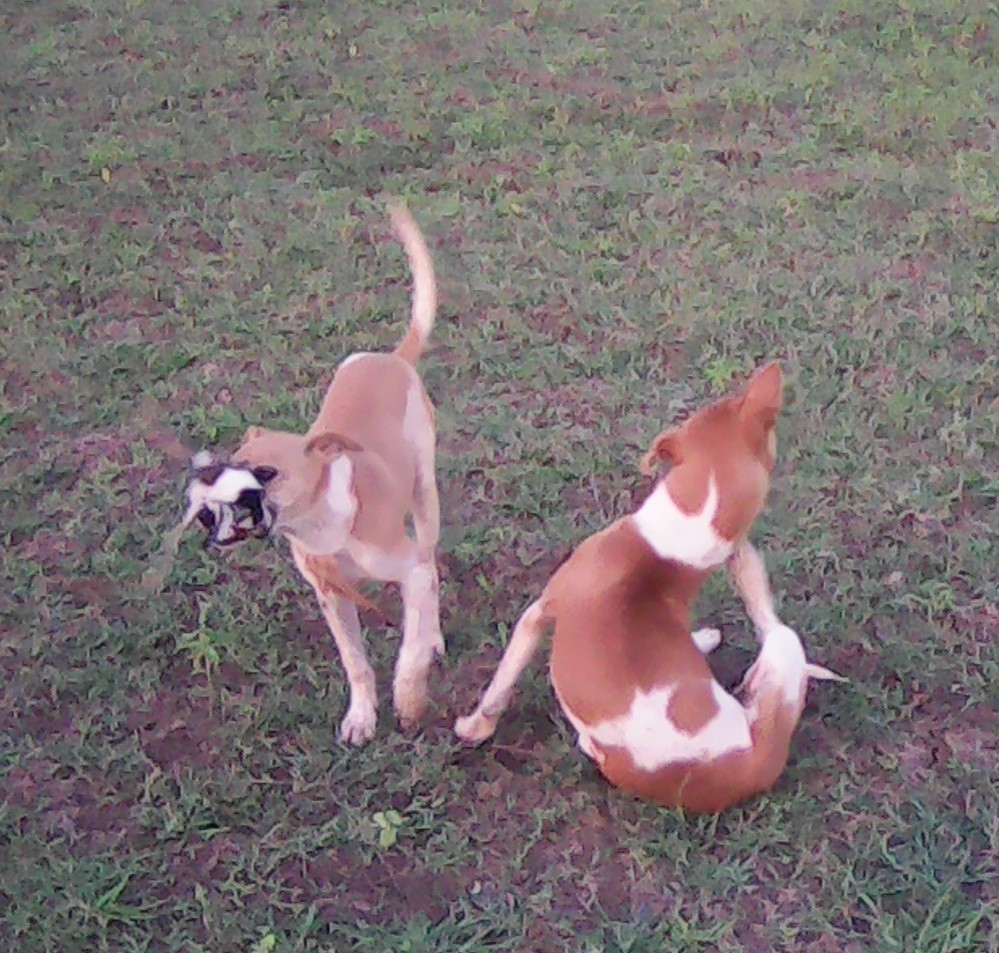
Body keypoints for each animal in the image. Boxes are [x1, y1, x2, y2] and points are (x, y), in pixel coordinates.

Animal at [230, 206, 446, 744]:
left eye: (267, 473)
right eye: (226, 469)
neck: (326, 527)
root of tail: (391, 358)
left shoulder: (409, 571)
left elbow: (408, 651)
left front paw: (409, 699)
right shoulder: (332, 599)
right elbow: (356, 663)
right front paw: (362, 717)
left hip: (425, 496)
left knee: (432, 565)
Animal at [456, 364, 844, 812]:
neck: (678, 532)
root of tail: (746, 765)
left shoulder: (536, 614)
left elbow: (499, 686)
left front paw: (473, 727)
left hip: (785, 640)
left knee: (769, 626)